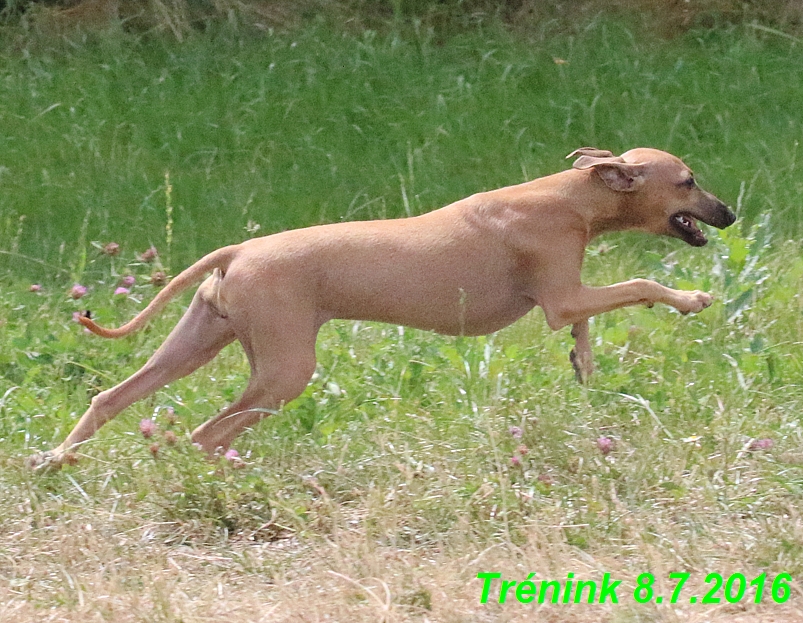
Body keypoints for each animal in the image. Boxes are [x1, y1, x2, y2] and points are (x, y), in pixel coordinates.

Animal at [29, 147, 736, 468]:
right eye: (688, 181)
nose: (730, 213)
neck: (569, 196)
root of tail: (238, 251)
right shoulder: (560, 296)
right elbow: (639, 284)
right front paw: (691, 299)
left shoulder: (567, 295)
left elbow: (589, 321)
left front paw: (584, 365)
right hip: (284, 370)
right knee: (209, 432)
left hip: (198, 343)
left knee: (112, 397)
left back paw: (57, 459)